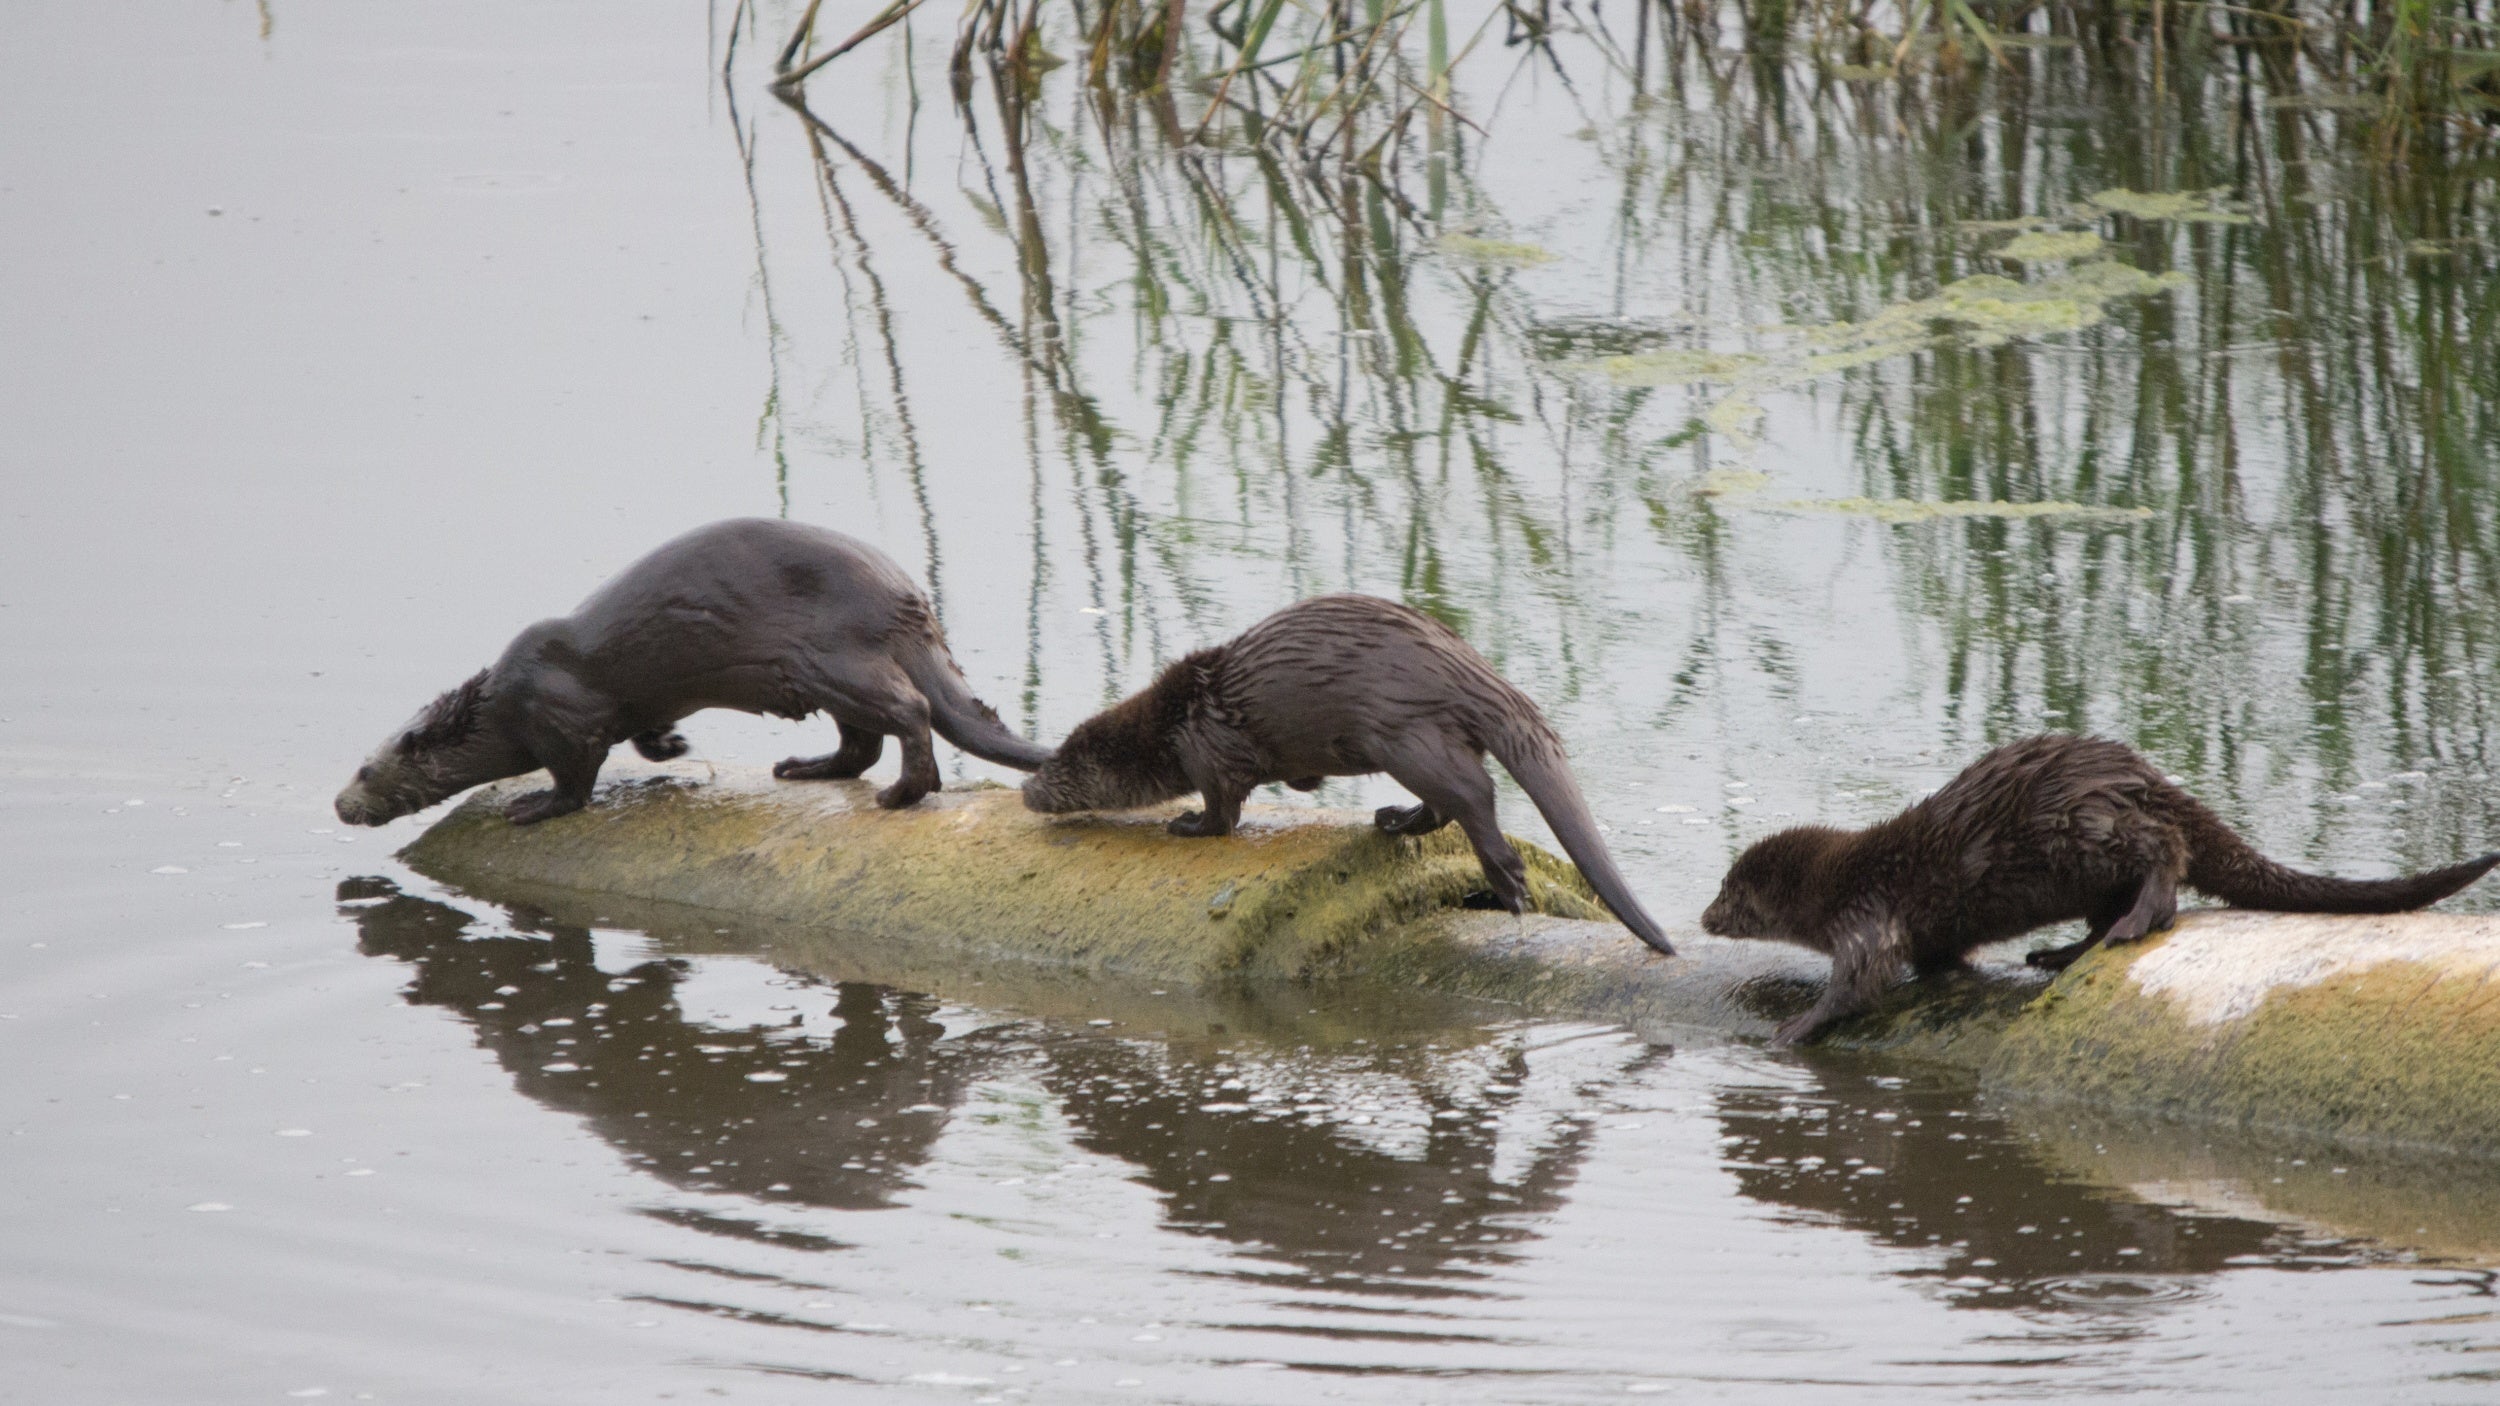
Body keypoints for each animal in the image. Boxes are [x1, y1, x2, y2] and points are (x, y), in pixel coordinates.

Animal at [335, 518, 1049, 827]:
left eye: (365, 771)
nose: (341, 805)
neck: (505, 704)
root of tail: (907, 597)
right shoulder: (640, 702)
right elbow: (644, 730)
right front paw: (672, 746)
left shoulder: (564, 716)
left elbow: (576, 777)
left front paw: (535, 806)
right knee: (862, 742)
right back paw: (803, 768)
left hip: (832, 659)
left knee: (909, 712)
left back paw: (900, 794)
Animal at [1020, 594, 1674, 956]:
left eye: (1061, 762)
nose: (1027, 789)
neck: (1175, 721)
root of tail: (1470, 672)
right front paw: (1304, 786)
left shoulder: (1210, 751)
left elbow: (1222, 811)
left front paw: (1185, 824)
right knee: (1455, 800)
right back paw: (1394, 821)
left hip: (1402, 733)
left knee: (1474, 793)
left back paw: (1505, 877)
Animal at [1701, 734, 2500, 1045]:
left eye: (1730, 891)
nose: (1705, 917)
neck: (1848, 875)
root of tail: (2144, 776)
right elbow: (1935, 957)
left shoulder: (1866, 910)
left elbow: (1862, 976)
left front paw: (1797, 1025)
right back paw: (2059, 955)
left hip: (2082, 824)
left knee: (2165, 852)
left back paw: (2134, 922)